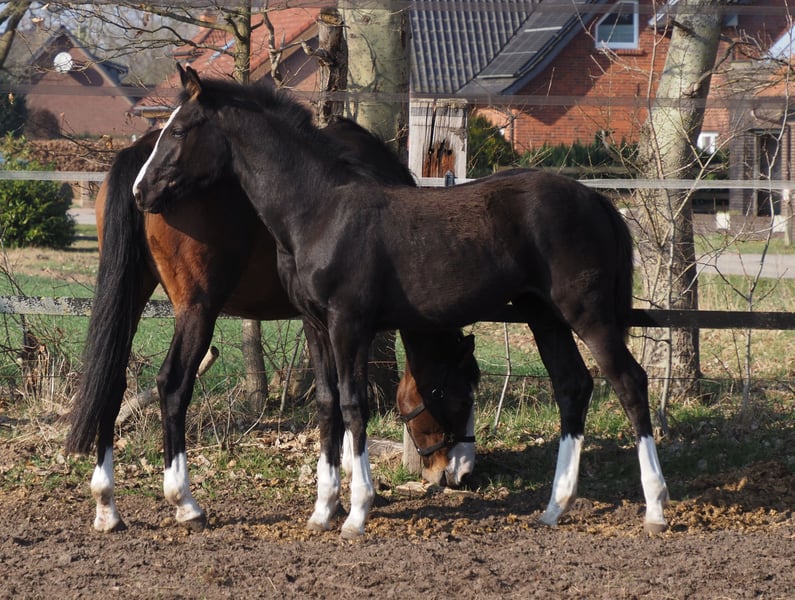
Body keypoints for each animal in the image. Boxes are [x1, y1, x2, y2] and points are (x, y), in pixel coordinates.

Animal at [65, 115, 480, 534]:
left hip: (133, 292)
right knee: (173, 386)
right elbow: (347, 398)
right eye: (462, 396)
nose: (462, 473)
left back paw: (107, 505)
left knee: (112, 382)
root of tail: (140, 157)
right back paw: (185, 502)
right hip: (197, 309)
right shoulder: (344, 322)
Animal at [133, 65, 669, 537]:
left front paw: (356, 513)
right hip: (545, 317)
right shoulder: (315, 323)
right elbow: (326, 404)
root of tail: (597, 201)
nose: (142, 191)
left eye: (179, 130)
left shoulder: (349, 323)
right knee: (573, 386)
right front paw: (322, 511)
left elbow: (353, 405)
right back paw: (555, 508)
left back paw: (655, 507)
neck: (319, 211)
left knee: (629, 382)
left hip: (588, 314)